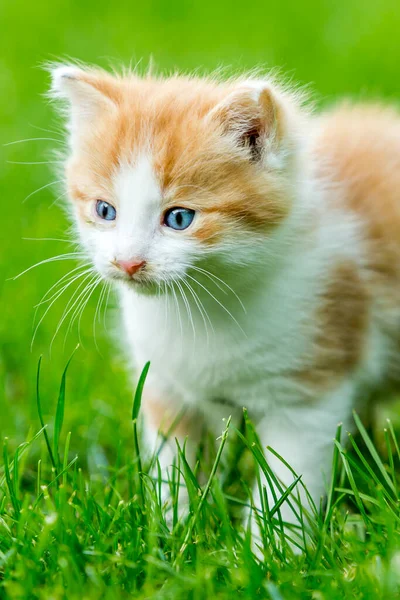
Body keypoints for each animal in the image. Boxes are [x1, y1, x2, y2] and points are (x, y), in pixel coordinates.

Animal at [50, 64, 400, 540]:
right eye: (105, 211)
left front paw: (271, 548)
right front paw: (171, 532)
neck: (198, 307)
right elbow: (171, 463)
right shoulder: (164, 382)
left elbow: (288, 483)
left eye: (180, 218)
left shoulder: (310, 389)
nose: (128, 262)